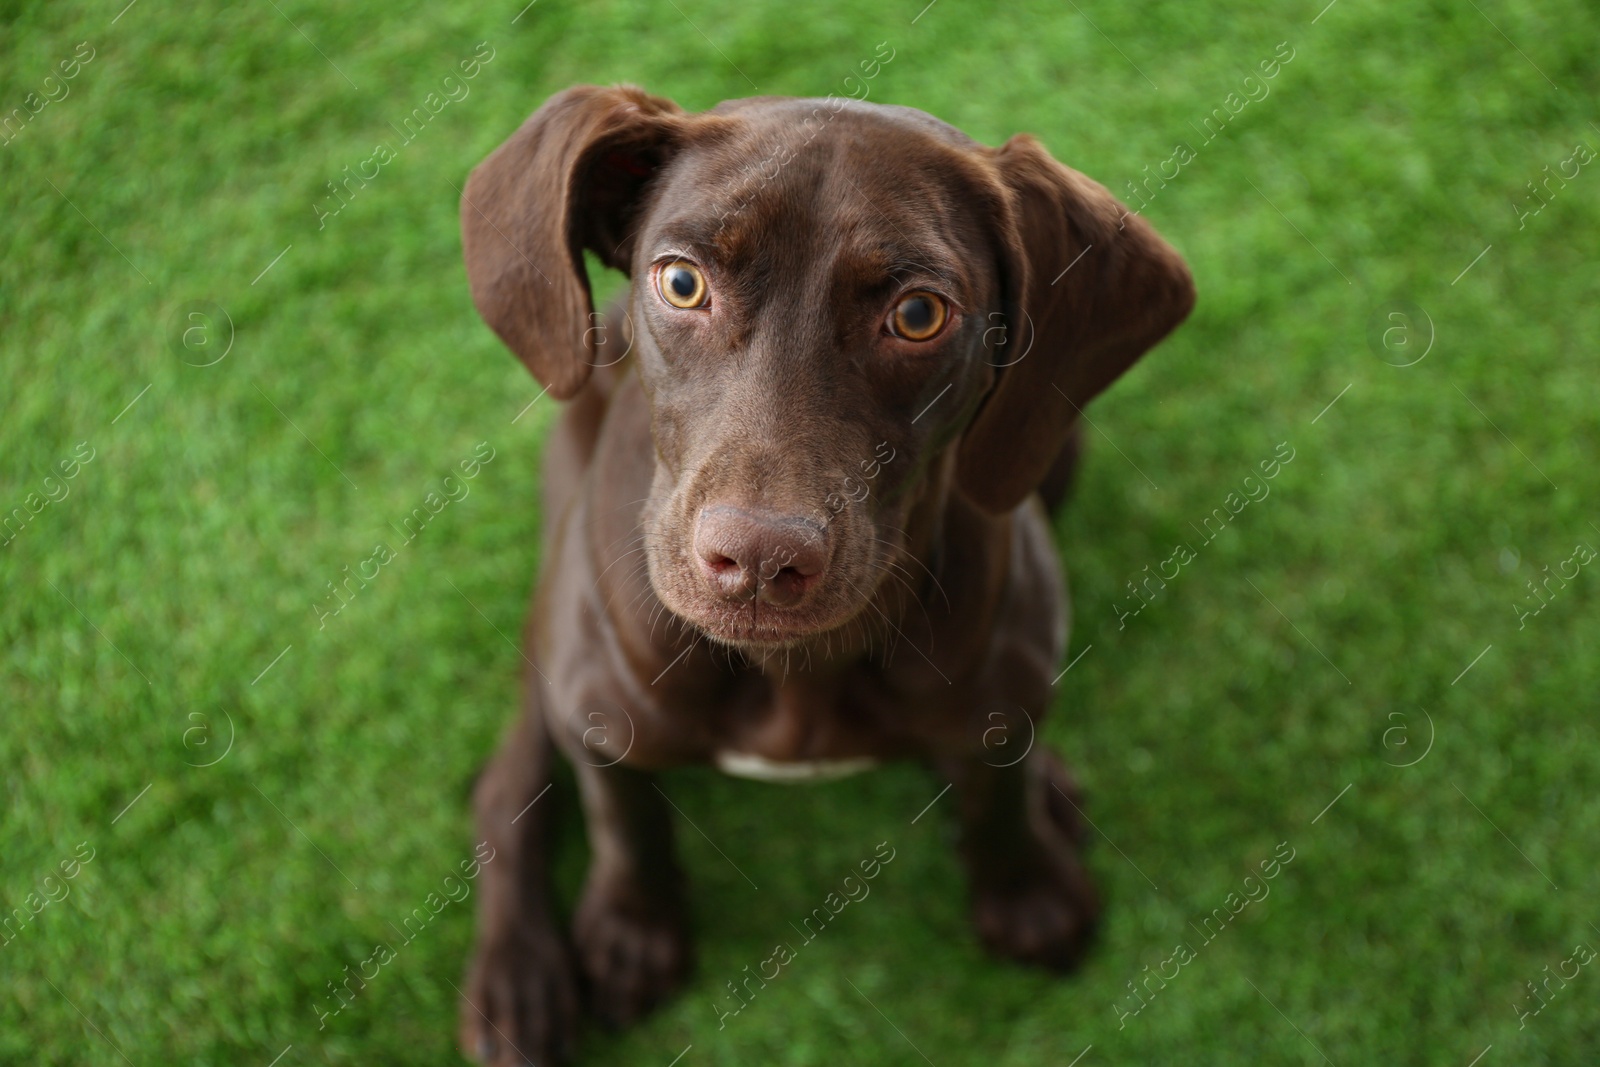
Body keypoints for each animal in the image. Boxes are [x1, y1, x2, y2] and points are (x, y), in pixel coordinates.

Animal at [451, 83, 1190, 1062]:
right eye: (681, 281)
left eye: (919, 314)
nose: (760, 560)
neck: (794, 674)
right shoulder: (599, 712)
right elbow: (626, 821)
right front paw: (632, 931)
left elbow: (997, 786)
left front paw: (1025, 888)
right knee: (508, 783)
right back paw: (517, 977)